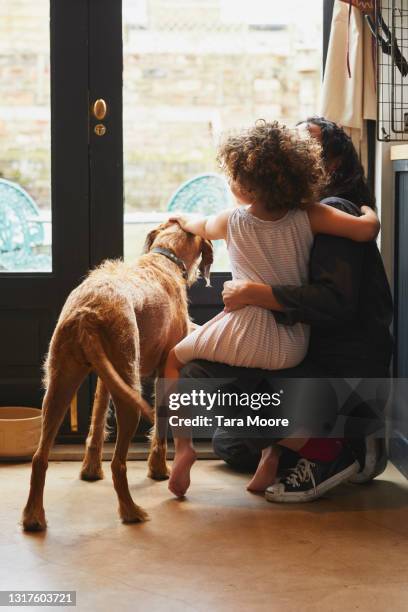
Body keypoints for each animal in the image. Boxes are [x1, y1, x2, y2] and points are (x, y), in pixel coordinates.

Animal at [21, 221, 214, 532]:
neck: (165, 257)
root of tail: (87, 313)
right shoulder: (164, 371)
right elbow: (160, 423)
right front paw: (158, 469)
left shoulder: (107, 377)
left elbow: (98, 419)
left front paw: (90, 469)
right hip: (129, 397)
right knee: (118, 463)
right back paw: (131, 511)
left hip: (59, 386)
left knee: (39, 457)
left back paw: (33, 517)